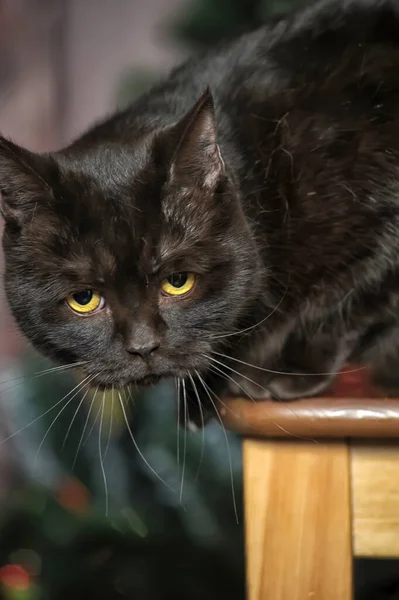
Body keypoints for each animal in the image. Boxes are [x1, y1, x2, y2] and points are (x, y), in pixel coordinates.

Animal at [0, 0, 399, 424]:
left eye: (178, 282)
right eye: (84, 298)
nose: (143, 346)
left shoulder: (386, 227)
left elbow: (345, 301)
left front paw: (284, 370)